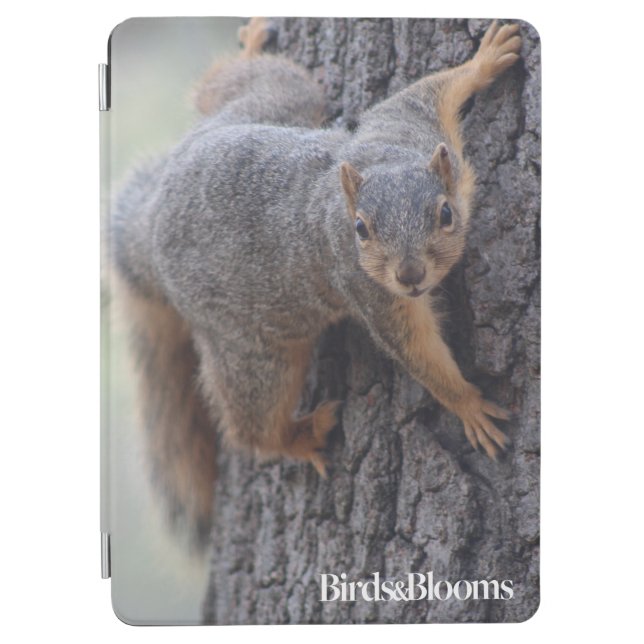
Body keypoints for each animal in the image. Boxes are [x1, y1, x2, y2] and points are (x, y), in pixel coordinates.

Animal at [111, 18, 522, 544]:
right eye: (360, 229)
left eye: (445, 214)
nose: (410, 276)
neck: (384, 163)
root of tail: (151, 224)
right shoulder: (370, 291)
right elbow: (417, 350)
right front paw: (467, 405)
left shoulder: (408, 124)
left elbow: (427, 90)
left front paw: (484, 59)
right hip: (252, 351)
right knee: (251, 424)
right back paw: (298, 437)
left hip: (274, 104)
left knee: (233, 87)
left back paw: (248, 49)